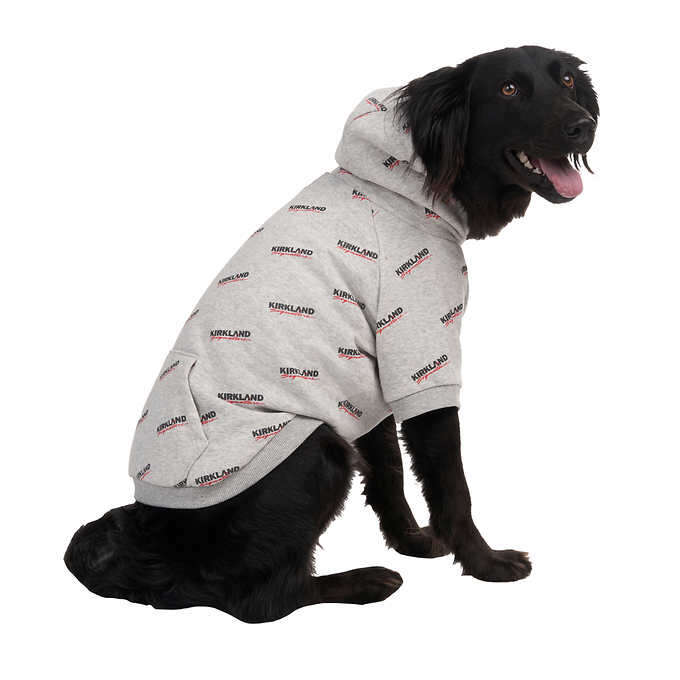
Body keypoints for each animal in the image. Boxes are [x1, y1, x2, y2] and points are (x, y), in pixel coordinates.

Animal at [65, 45, 598, 623]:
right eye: (508, 89)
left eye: (567, 81)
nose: (584, 125)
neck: (415, 182)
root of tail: (154, 539)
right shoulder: (419, 358)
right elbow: (451, 484)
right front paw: (486, 563)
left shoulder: (364, 378)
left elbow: (387, 470)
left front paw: (412, 541)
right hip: (316, 447)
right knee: (259, 599)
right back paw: (364, 582)